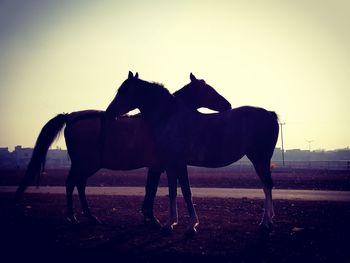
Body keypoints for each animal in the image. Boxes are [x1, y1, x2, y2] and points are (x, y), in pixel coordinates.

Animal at [15, 73, 232, 226]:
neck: (161, 118)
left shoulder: (155, 166)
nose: (228, 104)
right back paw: (75, 217)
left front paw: (147, 216)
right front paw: (151, 218)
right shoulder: (158, 166)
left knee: (78, 184)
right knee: (73, 184)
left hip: (83, 165)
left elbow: (150, 188)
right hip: (85, 164)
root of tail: (71, 116)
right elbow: (151, 189)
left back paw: (87, 216)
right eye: (208, 90)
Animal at [106, 71, 278, 234]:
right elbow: (173, 191)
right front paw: (170, 224)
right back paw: (269, 221)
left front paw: (191, 226)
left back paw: (265, 223)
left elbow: (186, 191)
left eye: (124, 91)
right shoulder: (170, 165)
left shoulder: (179, 163)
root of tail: (269, 114)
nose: (109, 113)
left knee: (267, 185)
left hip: (259, 159)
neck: (170, 117)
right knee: (267, 185)